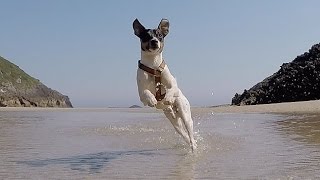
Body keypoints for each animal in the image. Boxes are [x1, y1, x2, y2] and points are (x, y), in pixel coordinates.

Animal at [133, 19, 198, 151]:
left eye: (160, 36)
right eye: (146, 36)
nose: (154, 41)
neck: (153, 65)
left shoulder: (173, 84)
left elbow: (171, 89)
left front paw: (167, 97)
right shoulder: (141, 94)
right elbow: (146, 93)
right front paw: (152, 99)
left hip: (185, 115)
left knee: (190, 133)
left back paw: (194, 147)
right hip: (175, 124)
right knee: (185, 135)